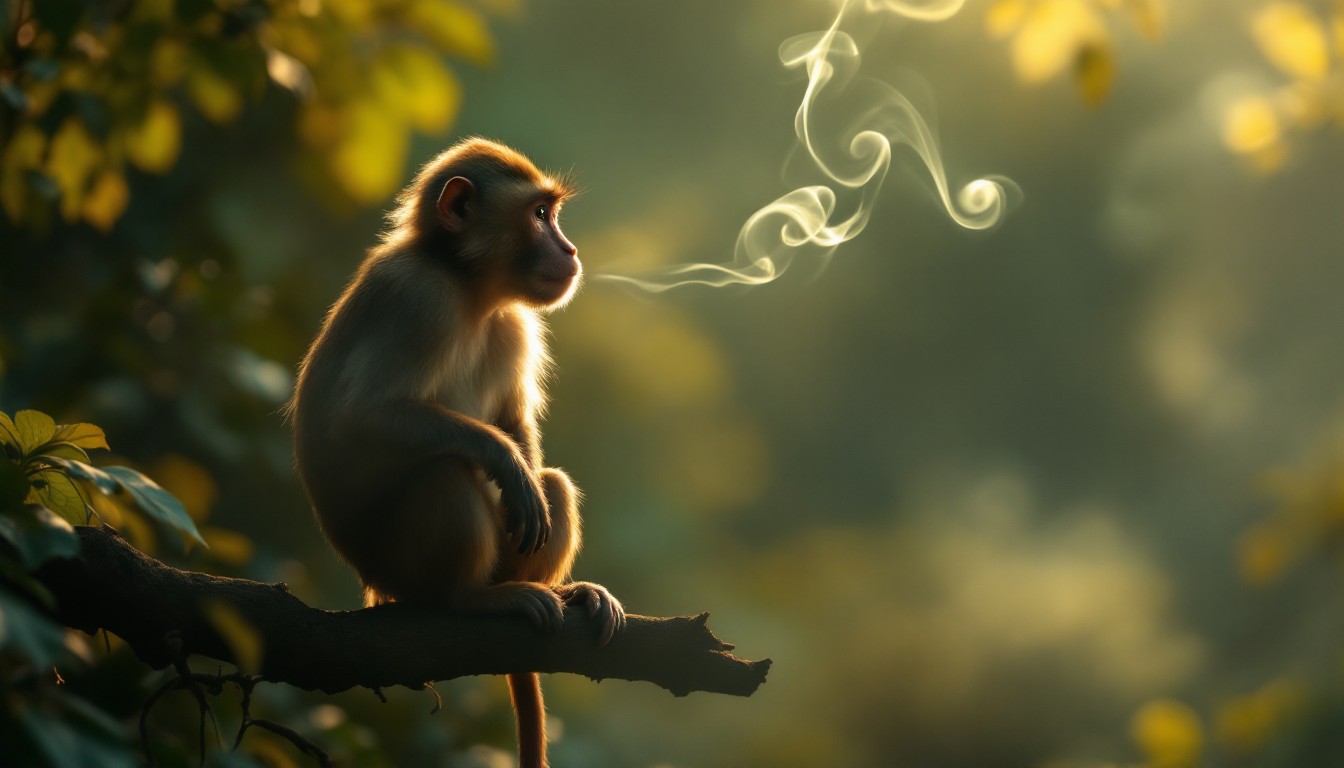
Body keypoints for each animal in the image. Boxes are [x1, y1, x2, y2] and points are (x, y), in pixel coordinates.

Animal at [288, 137, 624, 768]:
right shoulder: (419, 299)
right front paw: (502, 458)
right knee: (446, 472)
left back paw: (552, 588)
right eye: (539, 215)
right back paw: (469, 599)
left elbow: (516, 425)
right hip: (400, 570)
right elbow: (362, 416)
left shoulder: (517, 323)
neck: (471, 290)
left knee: (552, 484)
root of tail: (375, 588)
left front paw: (522, 473)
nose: (568, 248)